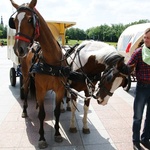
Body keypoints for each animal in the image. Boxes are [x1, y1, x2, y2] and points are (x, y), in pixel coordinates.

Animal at [8, 0, 68, 148]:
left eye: (30, 20)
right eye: (14, 22)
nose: (18, 49)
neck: (51, 61)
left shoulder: (60, 90)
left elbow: (57, 112)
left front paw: (57, 134)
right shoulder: (41, 89)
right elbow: (42, 114)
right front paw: (41, 138)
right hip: (26, 76)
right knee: (25, 89)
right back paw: (25, 111)